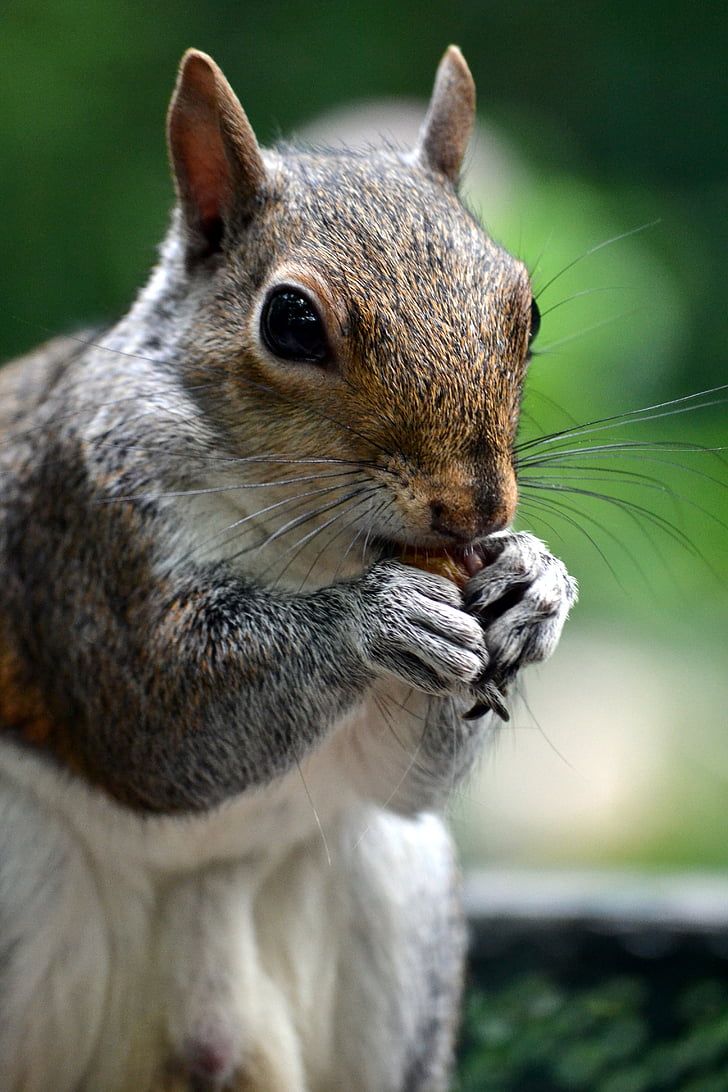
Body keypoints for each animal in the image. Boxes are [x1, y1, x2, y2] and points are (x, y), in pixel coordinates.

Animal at [1, 44, 580, 1092]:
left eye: (528, 309)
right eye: (292, 322)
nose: (477, 509)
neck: (309, 547)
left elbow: (401, 780)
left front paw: (535, 584)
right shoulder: (83, 537)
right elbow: (160, 724)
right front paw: (375, 619)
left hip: (390, 900)